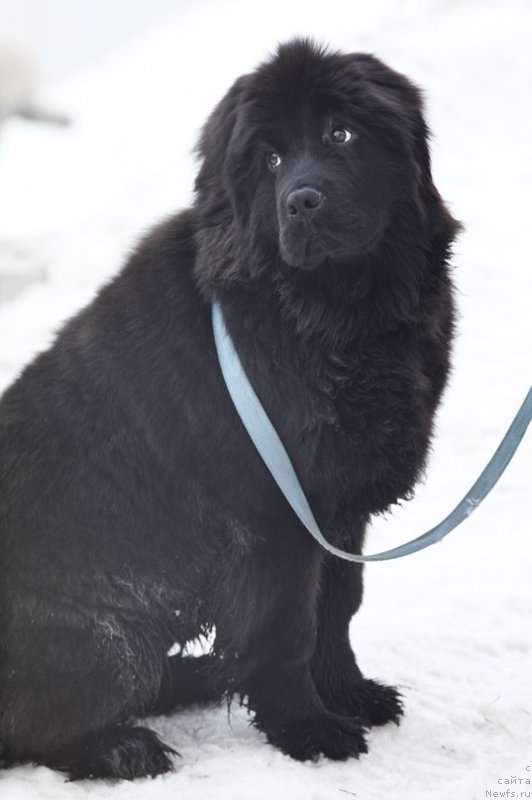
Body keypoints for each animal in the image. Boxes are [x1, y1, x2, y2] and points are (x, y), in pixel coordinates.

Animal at [0, 40, 458, 780]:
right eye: (268, 159)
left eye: (341, 133)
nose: (302, 201)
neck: (330, 318)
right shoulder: (273, 518)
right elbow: (290, 629)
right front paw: (308, 730)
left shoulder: (337, 513)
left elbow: (340, 608)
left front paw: (350, 695)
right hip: (104, 642)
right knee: (33, 728)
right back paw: (123, 745)